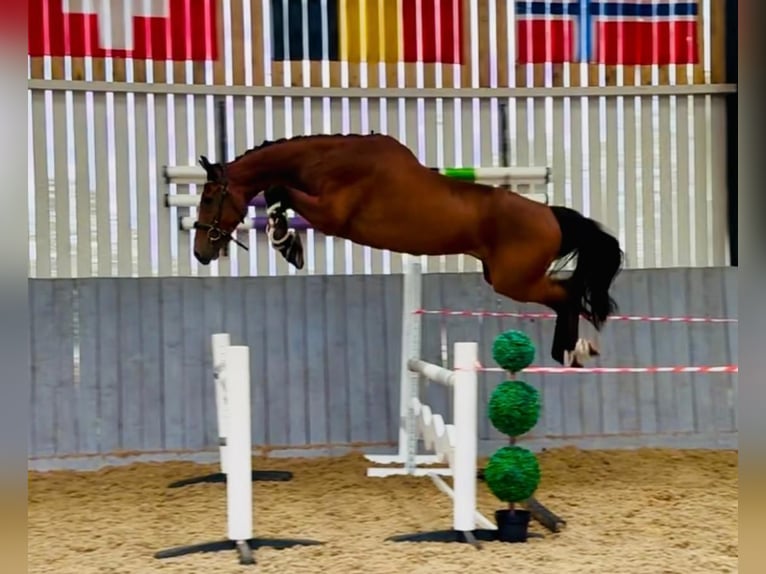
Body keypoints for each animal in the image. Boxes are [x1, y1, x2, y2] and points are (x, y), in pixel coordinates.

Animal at [191, 132, 624, 367]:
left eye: (210, 197)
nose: (200, 252)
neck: (330, 160)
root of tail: (550, 214)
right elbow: (276, 193)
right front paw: (287, 242)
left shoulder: (331, 215)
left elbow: (277, 190)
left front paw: (287, 244)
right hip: (507, 277)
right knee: (568, 297)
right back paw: (573, 352)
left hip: (514, 281)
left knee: (568, 296)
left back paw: (571, 352)